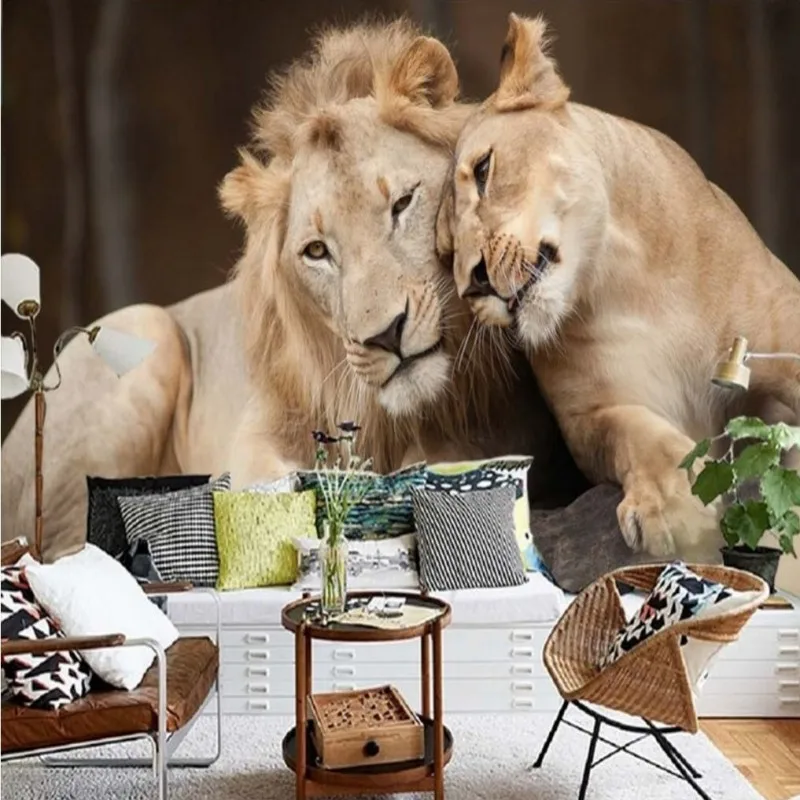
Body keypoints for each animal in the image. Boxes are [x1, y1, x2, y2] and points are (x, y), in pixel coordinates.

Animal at [2, 18, 583, 562]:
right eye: (317, 251)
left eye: (402, 203)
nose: (385, 337)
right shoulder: (257, 435)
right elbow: (261, 485)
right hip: (142, 329)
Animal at [437, 13, 800, 561]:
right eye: (444, 252)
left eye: (483, 171)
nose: (473, 284)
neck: (623, 280)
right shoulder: (591, 413)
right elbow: (636, 434)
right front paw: (675, 509)